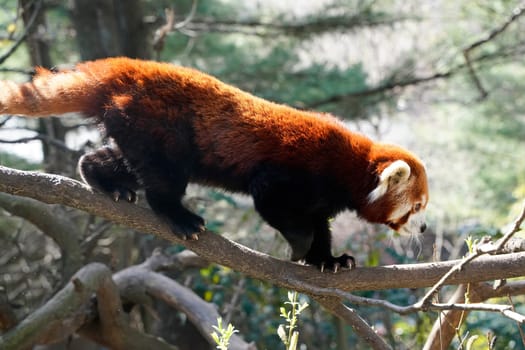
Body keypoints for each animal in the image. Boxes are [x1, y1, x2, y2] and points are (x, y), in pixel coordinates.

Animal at [0, 56, 428, 270]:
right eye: (417, 207)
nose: (424, 228)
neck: (348, 167)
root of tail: (126, 68)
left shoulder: (322, 196)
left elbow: (320, 225)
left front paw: (328, 259)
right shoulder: (295, 170)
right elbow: (273, 203)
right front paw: (301, 245)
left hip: (135, 128)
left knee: (117, 161)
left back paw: (105, 180)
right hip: (161, 127)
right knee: (164, 181)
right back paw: (179, 216)